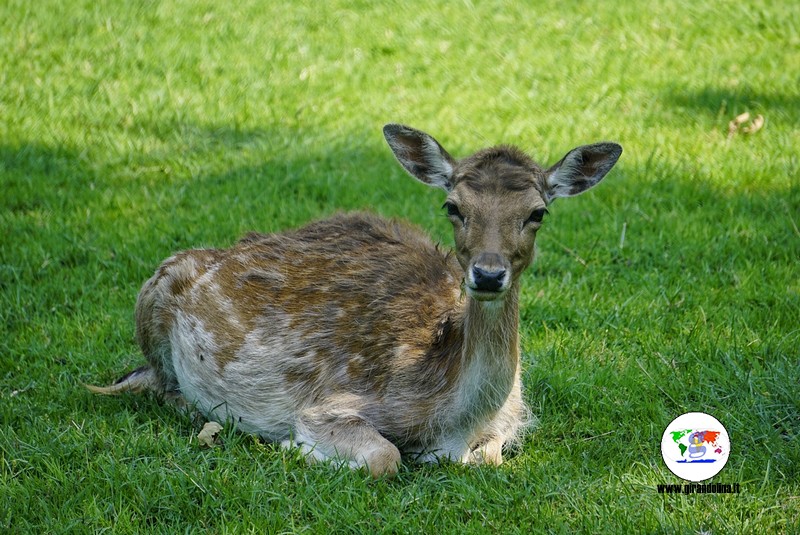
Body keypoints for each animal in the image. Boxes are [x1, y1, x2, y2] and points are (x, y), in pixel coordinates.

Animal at [89, 124, 624, 478]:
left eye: (537, 213)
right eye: (453, 207)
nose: (489, 274)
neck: (453, 415)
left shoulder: (512, 416)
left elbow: (487, 459)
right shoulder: (330, 404)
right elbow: (385, 457)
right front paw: (292, 447)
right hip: (151, 295)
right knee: (158, 384)